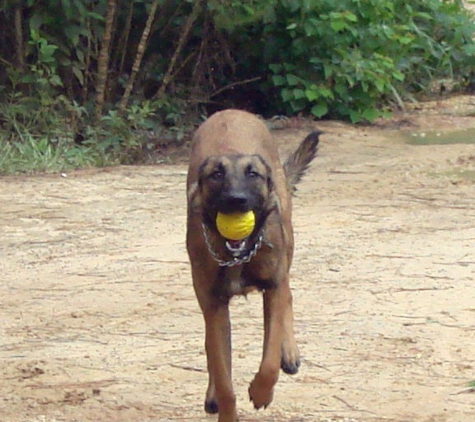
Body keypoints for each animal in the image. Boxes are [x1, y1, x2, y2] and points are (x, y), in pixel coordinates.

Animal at [186, 109, 320, 422]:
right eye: (216, 175)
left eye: (252, 174)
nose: (236, 200)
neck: (238, 254)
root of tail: (232, 111)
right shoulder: (214, 306)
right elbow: (223, 376)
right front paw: (224, 406)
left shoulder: (272, 288)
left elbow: (269, 360)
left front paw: (261, 392)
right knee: (213, 348)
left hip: (287, 247)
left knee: (288, 297)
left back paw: (289, 352)